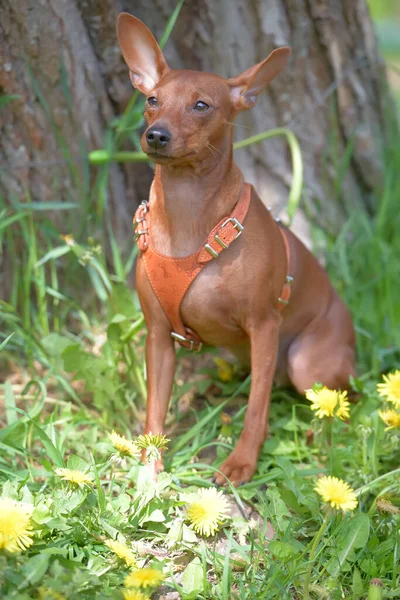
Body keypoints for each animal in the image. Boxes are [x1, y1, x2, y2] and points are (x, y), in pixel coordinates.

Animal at [116, 12, 356, 488]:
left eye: (201, 105)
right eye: (152, 99)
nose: (156, 135)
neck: (189, 217)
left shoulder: (264, 326)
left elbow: (256, 410)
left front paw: (242, 462)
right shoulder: (158, 337)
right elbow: (154, 415)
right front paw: (150, 472)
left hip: (303, 361)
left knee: (336, 406)